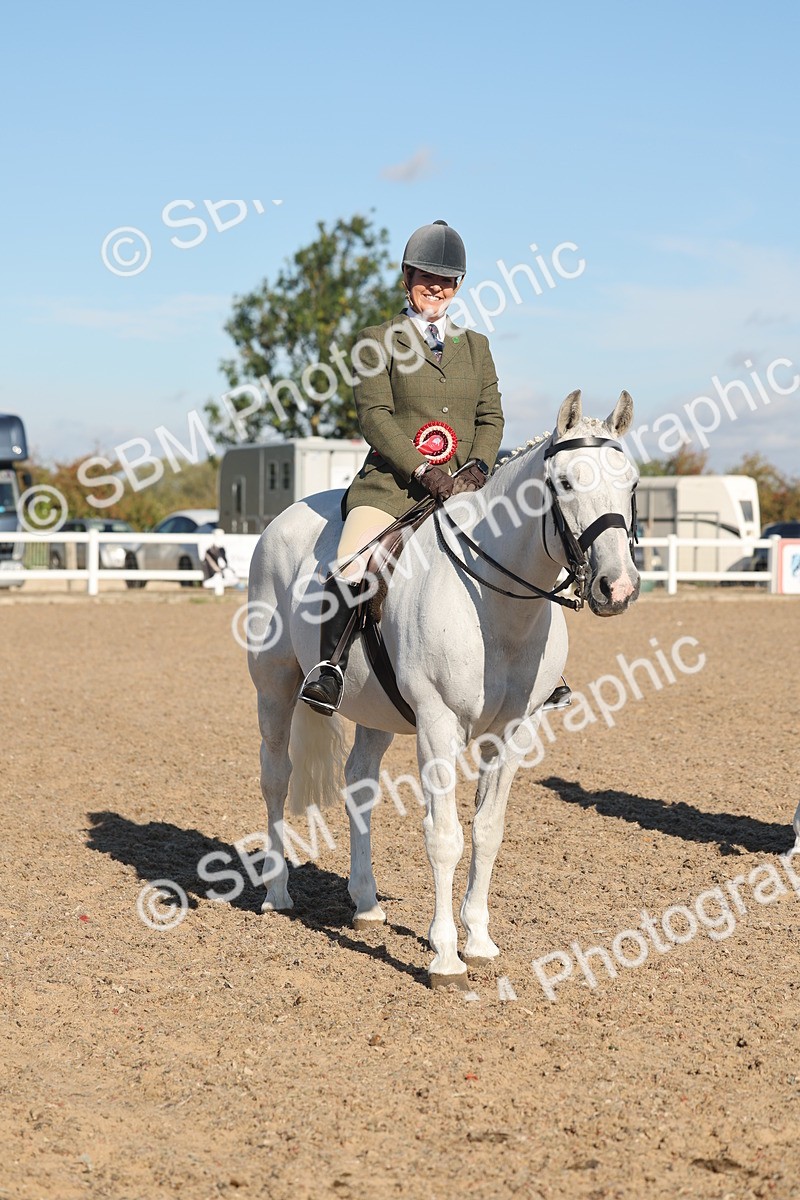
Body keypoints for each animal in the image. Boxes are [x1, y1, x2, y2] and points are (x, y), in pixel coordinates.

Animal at [246, 390, 641, 987]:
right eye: (567, 483)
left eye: (633, 483)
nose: (616, 588)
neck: (494, 600)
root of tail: (282, 520)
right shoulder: (437, 724)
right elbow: (444, 836)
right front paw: (446, 956)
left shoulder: (514, 732)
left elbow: (487, 831)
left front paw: (478, 940)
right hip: (274, 684)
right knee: (275, 777)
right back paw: (276, 892)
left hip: (376, 709)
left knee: (359, 784)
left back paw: (365, 904)